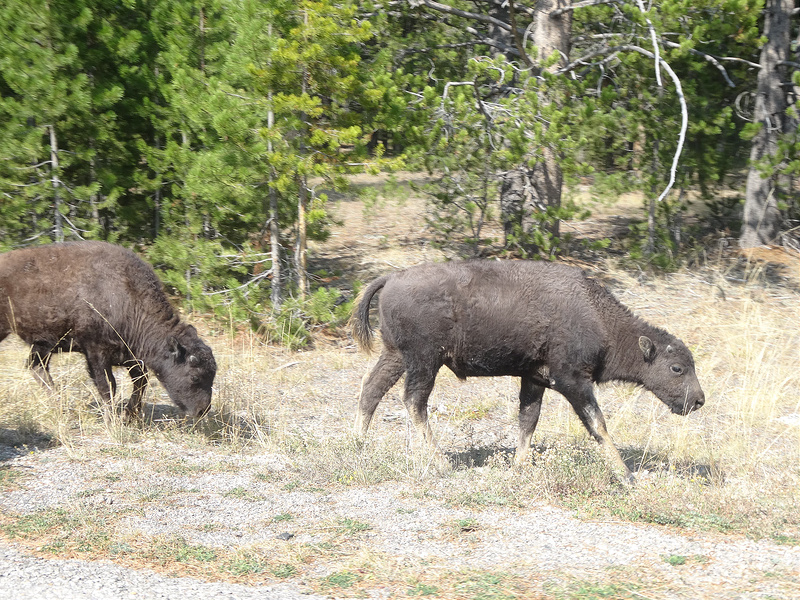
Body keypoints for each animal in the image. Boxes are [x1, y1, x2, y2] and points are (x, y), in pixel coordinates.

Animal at [0, 241, 217, 420]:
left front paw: (130, 414)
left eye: (212, 377)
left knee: (37, 367)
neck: (127, 296)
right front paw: (111, 419)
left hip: (43, 345)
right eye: (195, 376)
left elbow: (141, 380)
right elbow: (108, 386)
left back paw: (60, 407)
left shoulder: (129, 355)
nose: (202, 410)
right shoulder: (96, 352)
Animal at [354, 260, 704, 480]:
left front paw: (518, 466)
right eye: (677, 368)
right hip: (424, 362)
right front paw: (627, 475)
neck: (598, 317)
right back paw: (441, 463)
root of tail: (391, 279)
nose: (699, 400)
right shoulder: (572, 381)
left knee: (371, 391)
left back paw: (358, 447)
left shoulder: (534, 379)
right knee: (414, 402)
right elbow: (598, 425)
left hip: (395, 356)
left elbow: (528, 421)